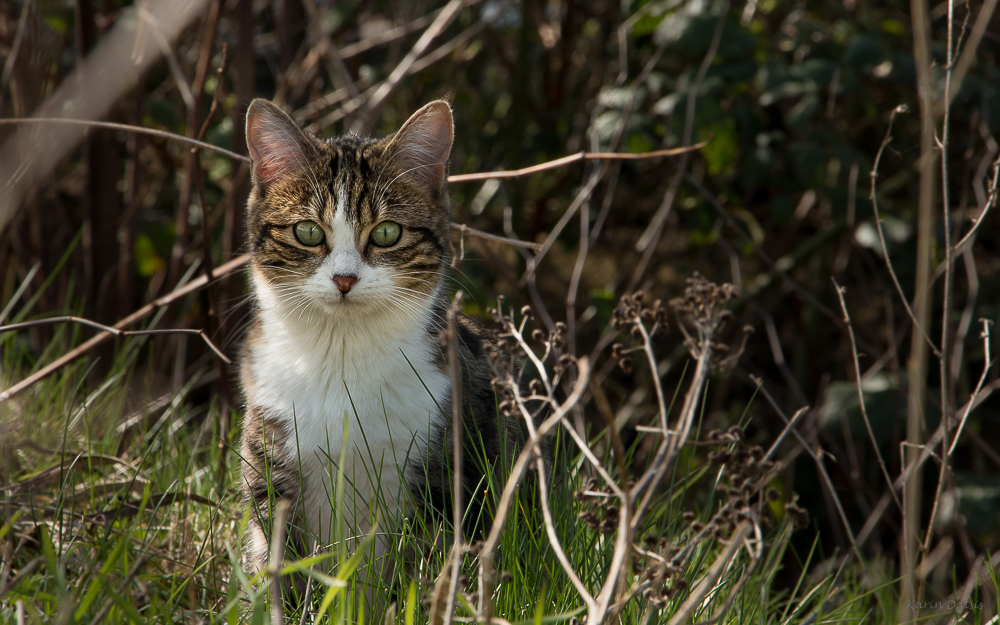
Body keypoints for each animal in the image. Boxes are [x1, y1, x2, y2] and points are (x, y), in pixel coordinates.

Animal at [235, 97, 524, 596]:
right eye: (308, 232)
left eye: (387, 233)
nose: (344, 279)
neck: (342, 357)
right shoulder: (270, 467)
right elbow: (277, 563)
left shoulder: (443, 474)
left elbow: (422, 570)